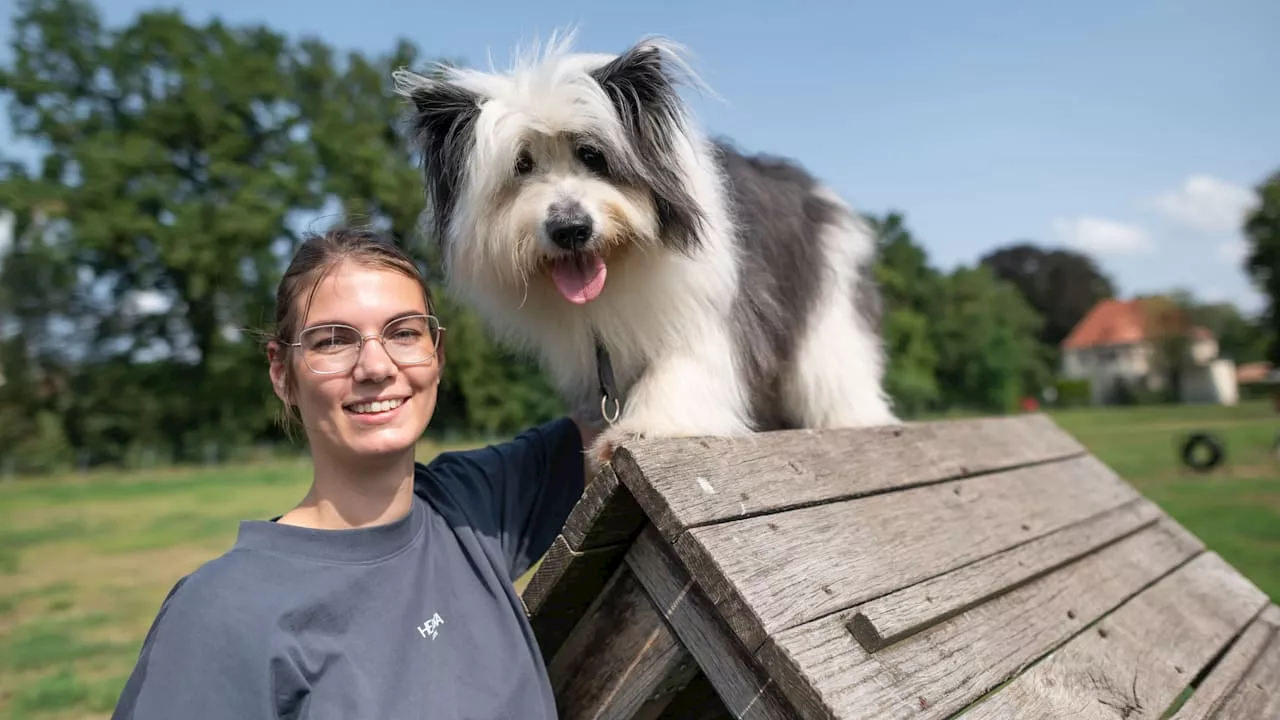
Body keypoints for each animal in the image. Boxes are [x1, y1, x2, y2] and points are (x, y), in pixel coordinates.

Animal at [394, 33, 896, 461]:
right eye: (522, 165)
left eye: (592, 155)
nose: (570, 229)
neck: (620, 265)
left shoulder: (707, 308)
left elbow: (683, 363)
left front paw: (648, 426)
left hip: (830, 313)